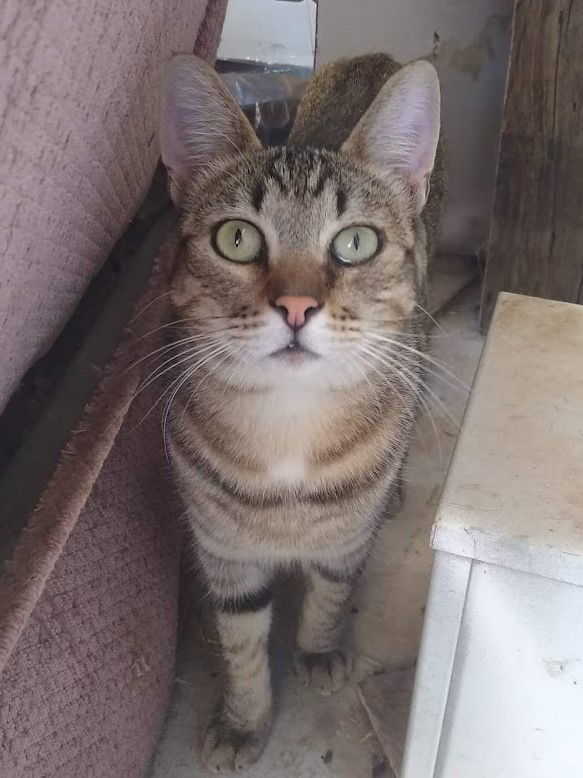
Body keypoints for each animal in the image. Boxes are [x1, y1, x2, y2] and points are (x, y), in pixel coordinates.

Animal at [160, 53, 442, 768]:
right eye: (236, 239)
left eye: (356, 243)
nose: (295, 306)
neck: (289, 428)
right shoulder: (224, 550)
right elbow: (241, 644)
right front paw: (244, 721)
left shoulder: (344, 542)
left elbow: (331, 594)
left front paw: (318, 651)